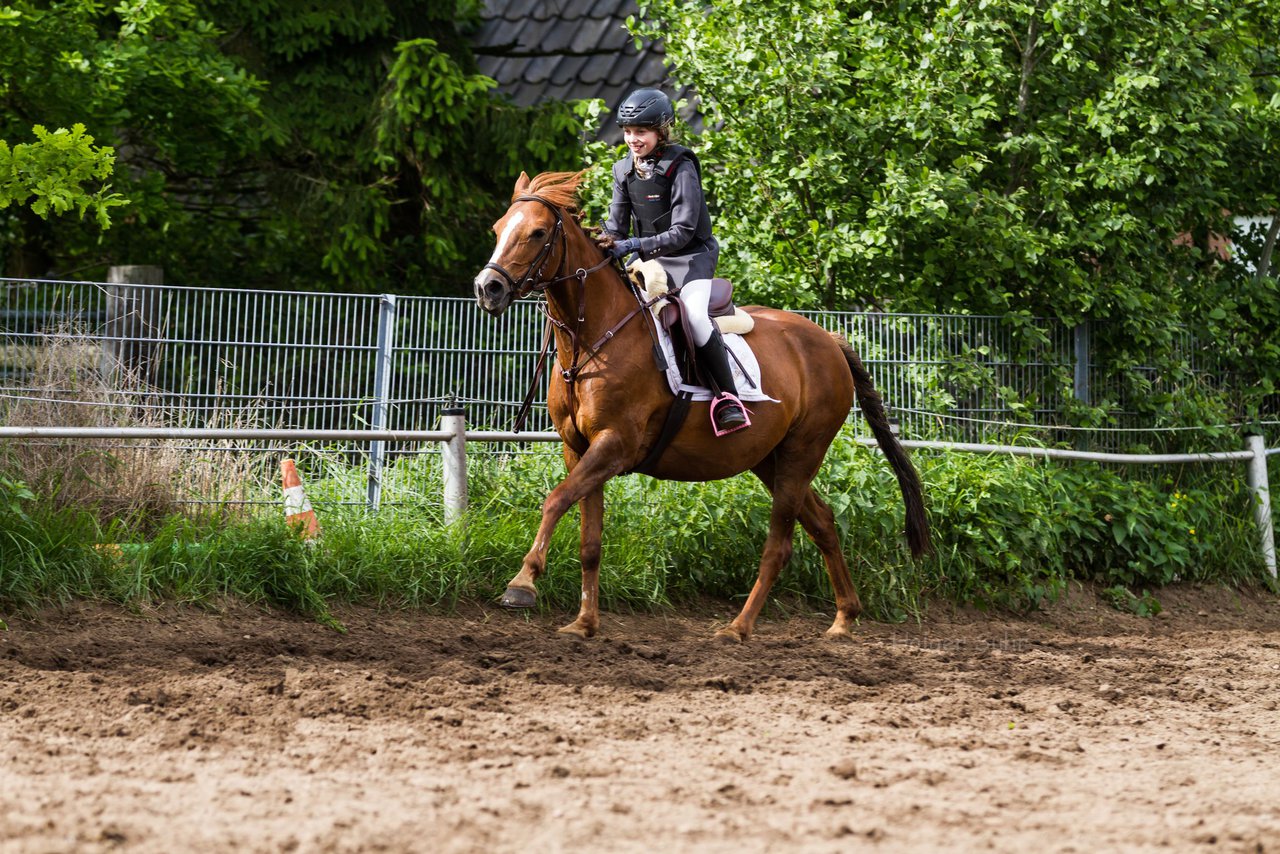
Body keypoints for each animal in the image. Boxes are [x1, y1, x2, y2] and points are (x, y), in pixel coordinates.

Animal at [473, 171, 931, 640]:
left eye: (537, 232)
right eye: (498, 229)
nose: (488, 289)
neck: (593, 341)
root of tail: (830, 340)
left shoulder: (614, 446)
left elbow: (555, 500)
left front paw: (523, 583)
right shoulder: (578, 450)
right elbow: (590, 541)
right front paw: (583, 623)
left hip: (803, 452)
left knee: (780, 546)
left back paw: (739, 627)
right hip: (770, 458)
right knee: (822, 522)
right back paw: (843, 618)